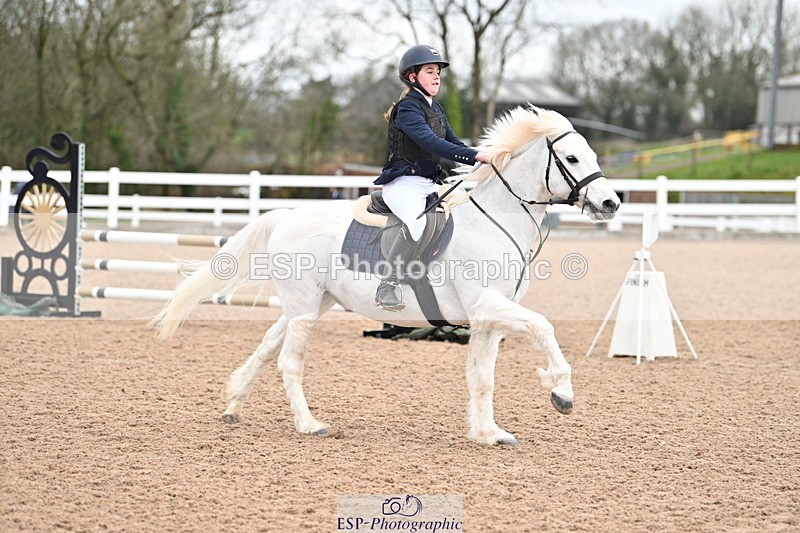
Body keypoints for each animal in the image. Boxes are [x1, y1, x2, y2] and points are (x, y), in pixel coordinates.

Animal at [150, 105, 621, 446]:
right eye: (572, 157)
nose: (611, 203)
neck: (494, 221)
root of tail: (288, 214)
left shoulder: (487, 320)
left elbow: (482, 377)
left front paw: (488, 433)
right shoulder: (488, 305)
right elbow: (543, 327)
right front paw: (561, 393)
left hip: (311, 304)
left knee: (268, 347)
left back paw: (233, 404)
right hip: (304, 307)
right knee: (289, 361)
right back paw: (308, 425)